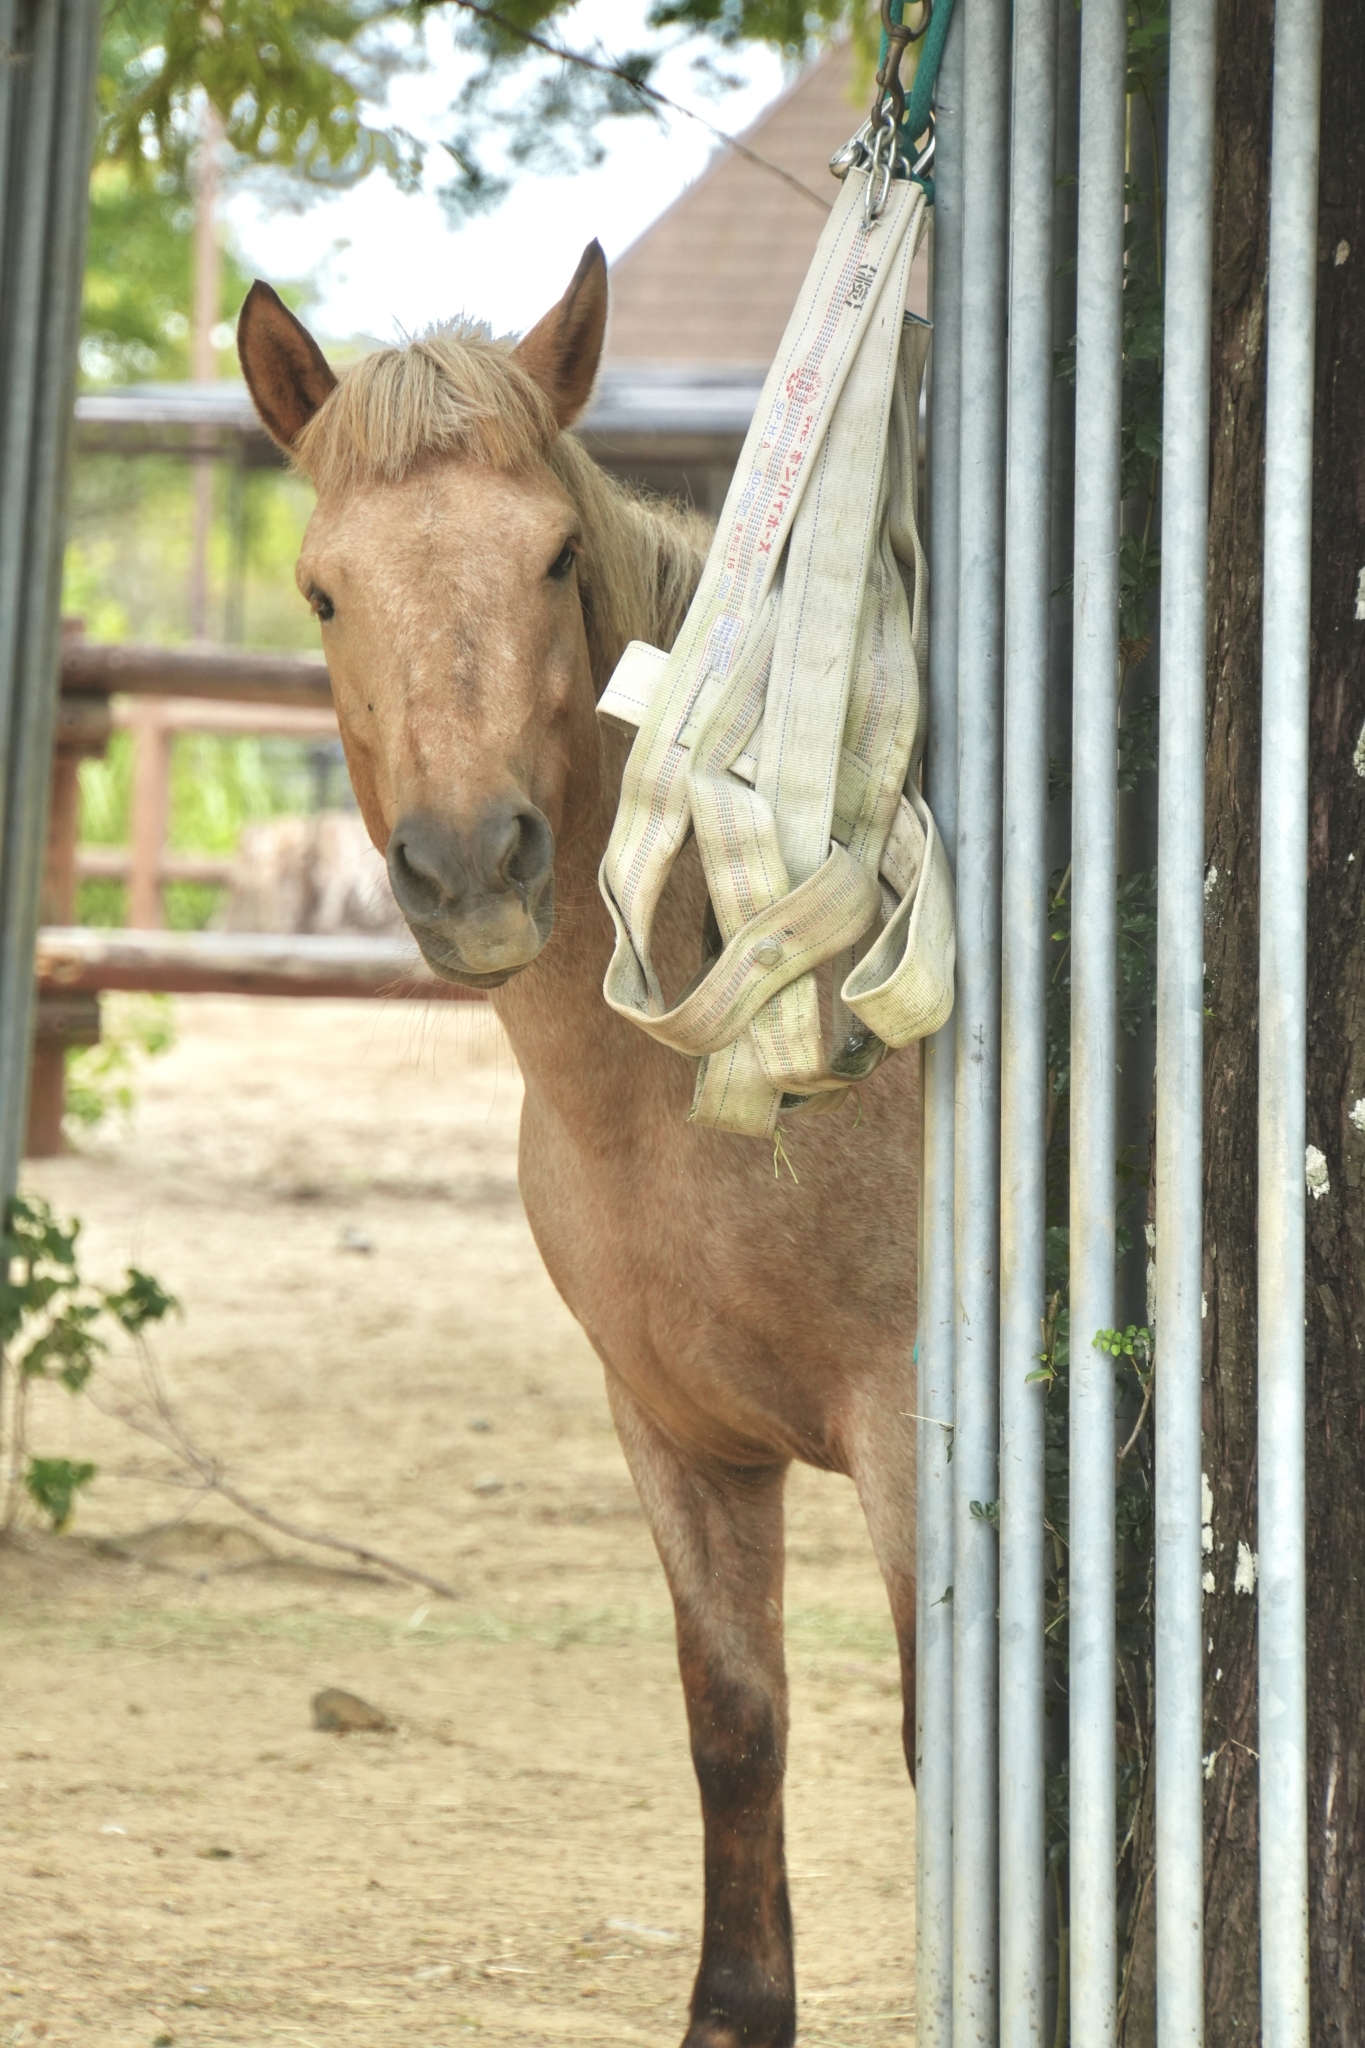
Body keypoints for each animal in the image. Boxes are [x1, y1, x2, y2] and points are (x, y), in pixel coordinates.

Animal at [237, 242, 922, 2048]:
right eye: (323, 591)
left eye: (553, 554)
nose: (474, 868)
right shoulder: (673, 1429)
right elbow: (735, 1723)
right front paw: (734, 2011)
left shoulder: (918, 1436)